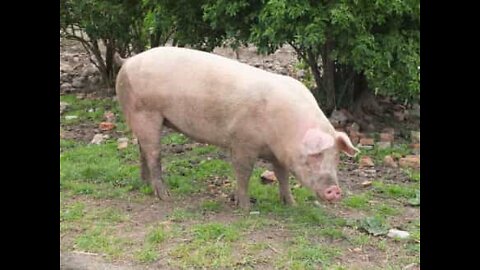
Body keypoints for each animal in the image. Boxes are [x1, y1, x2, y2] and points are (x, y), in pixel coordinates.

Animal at [114, 47, 358, 210]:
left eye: (336, 157)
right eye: (315, 155)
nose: (335, 190)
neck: (286, 129)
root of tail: (128, 60)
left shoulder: (278, 154)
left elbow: (282, 176)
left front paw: (291, 204)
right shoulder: (242, 142)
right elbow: (243, 172)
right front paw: (245, 207)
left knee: (142, 150)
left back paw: (145, 183)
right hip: (146, 112)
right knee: (153, 154)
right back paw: (165, 196)